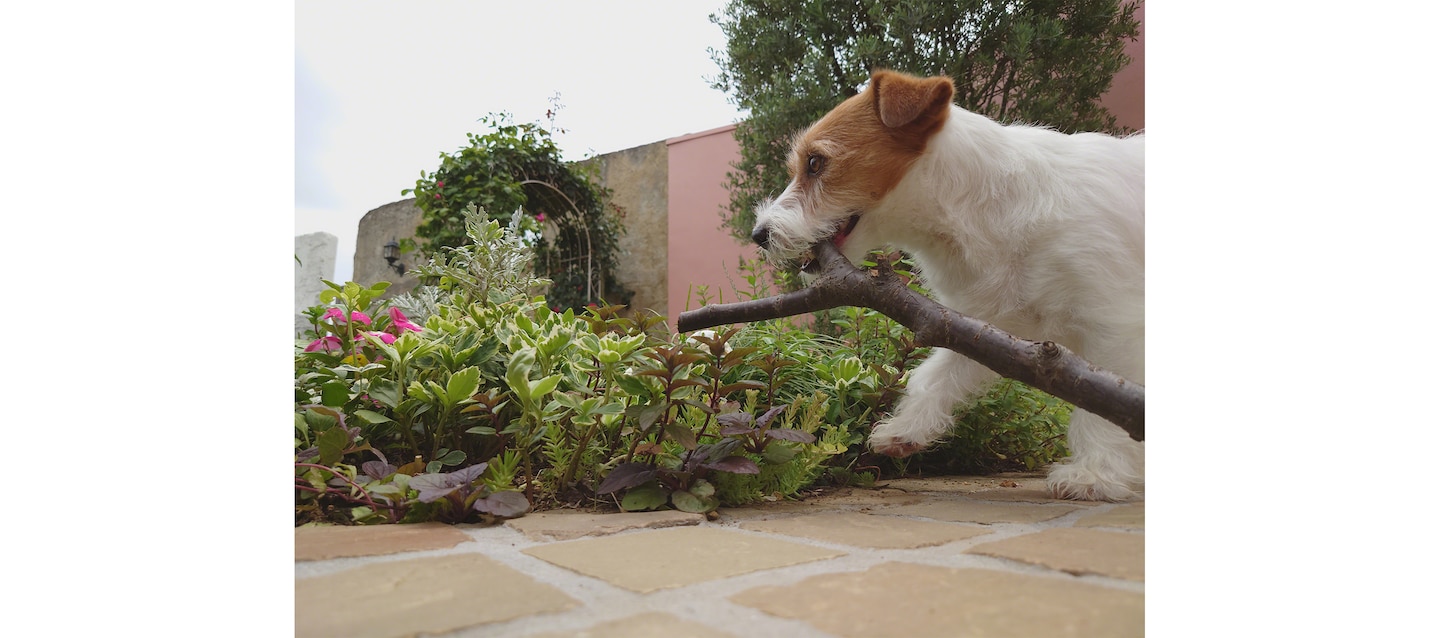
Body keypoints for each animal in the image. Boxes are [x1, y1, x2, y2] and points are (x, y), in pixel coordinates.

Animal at [748, 68, 1140, 498]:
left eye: (816, 163)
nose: (759, 234)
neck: (987, 204)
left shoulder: (1111, 328)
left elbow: (1101, 408)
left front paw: (1094, 474)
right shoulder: (982, 328)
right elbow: (935, 375)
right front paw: (906, 429)